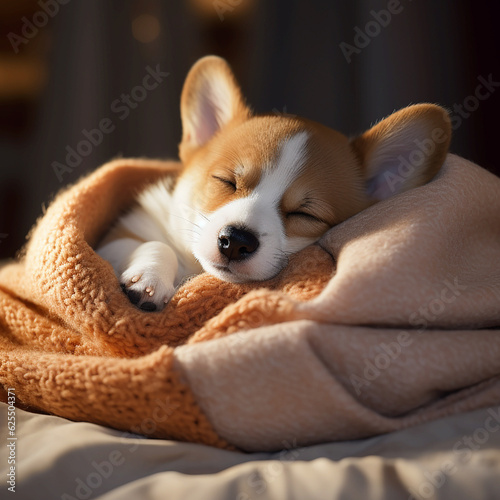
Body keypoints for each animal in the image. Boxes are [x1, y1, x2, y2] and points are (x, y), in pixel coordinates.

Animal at [95, 56, 452, 310]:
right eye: (226, 182)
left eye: (304, 214)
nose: (235, 241)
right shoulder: (113, 240)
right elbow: (155, 244)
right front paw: (149, 279)